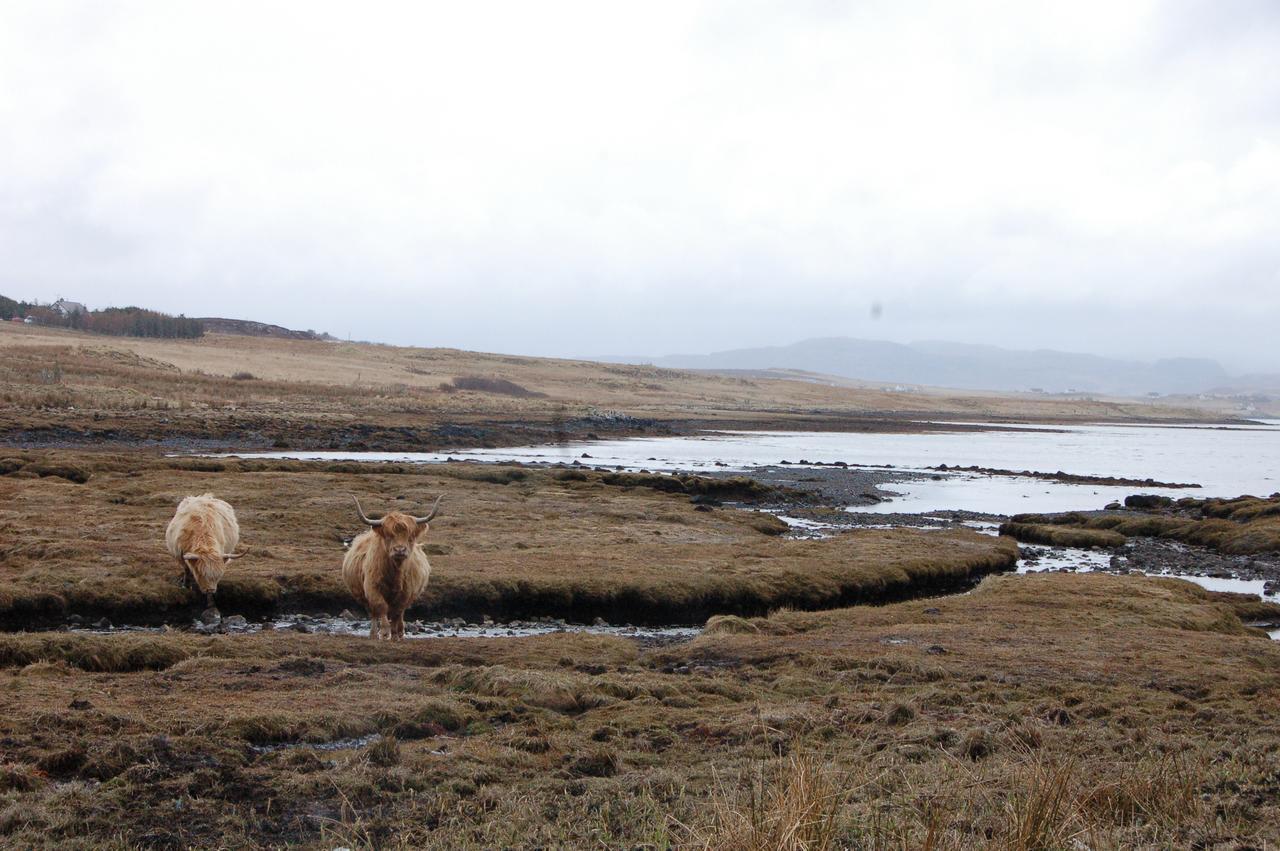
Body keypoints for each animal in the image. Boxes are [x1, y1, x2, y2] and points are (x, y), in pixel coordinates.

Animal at [343, 491, 442, 637]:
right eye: (388, 535)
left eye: (410, 537)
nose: (399, 550)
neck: (395, 573)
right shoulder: (372, 588)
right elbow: (381, 607)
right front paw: (384, 633)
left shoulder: (406, 592)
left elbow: (398, 612)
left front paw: (397, 633)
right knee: (373, 614)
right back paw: (373, 634)